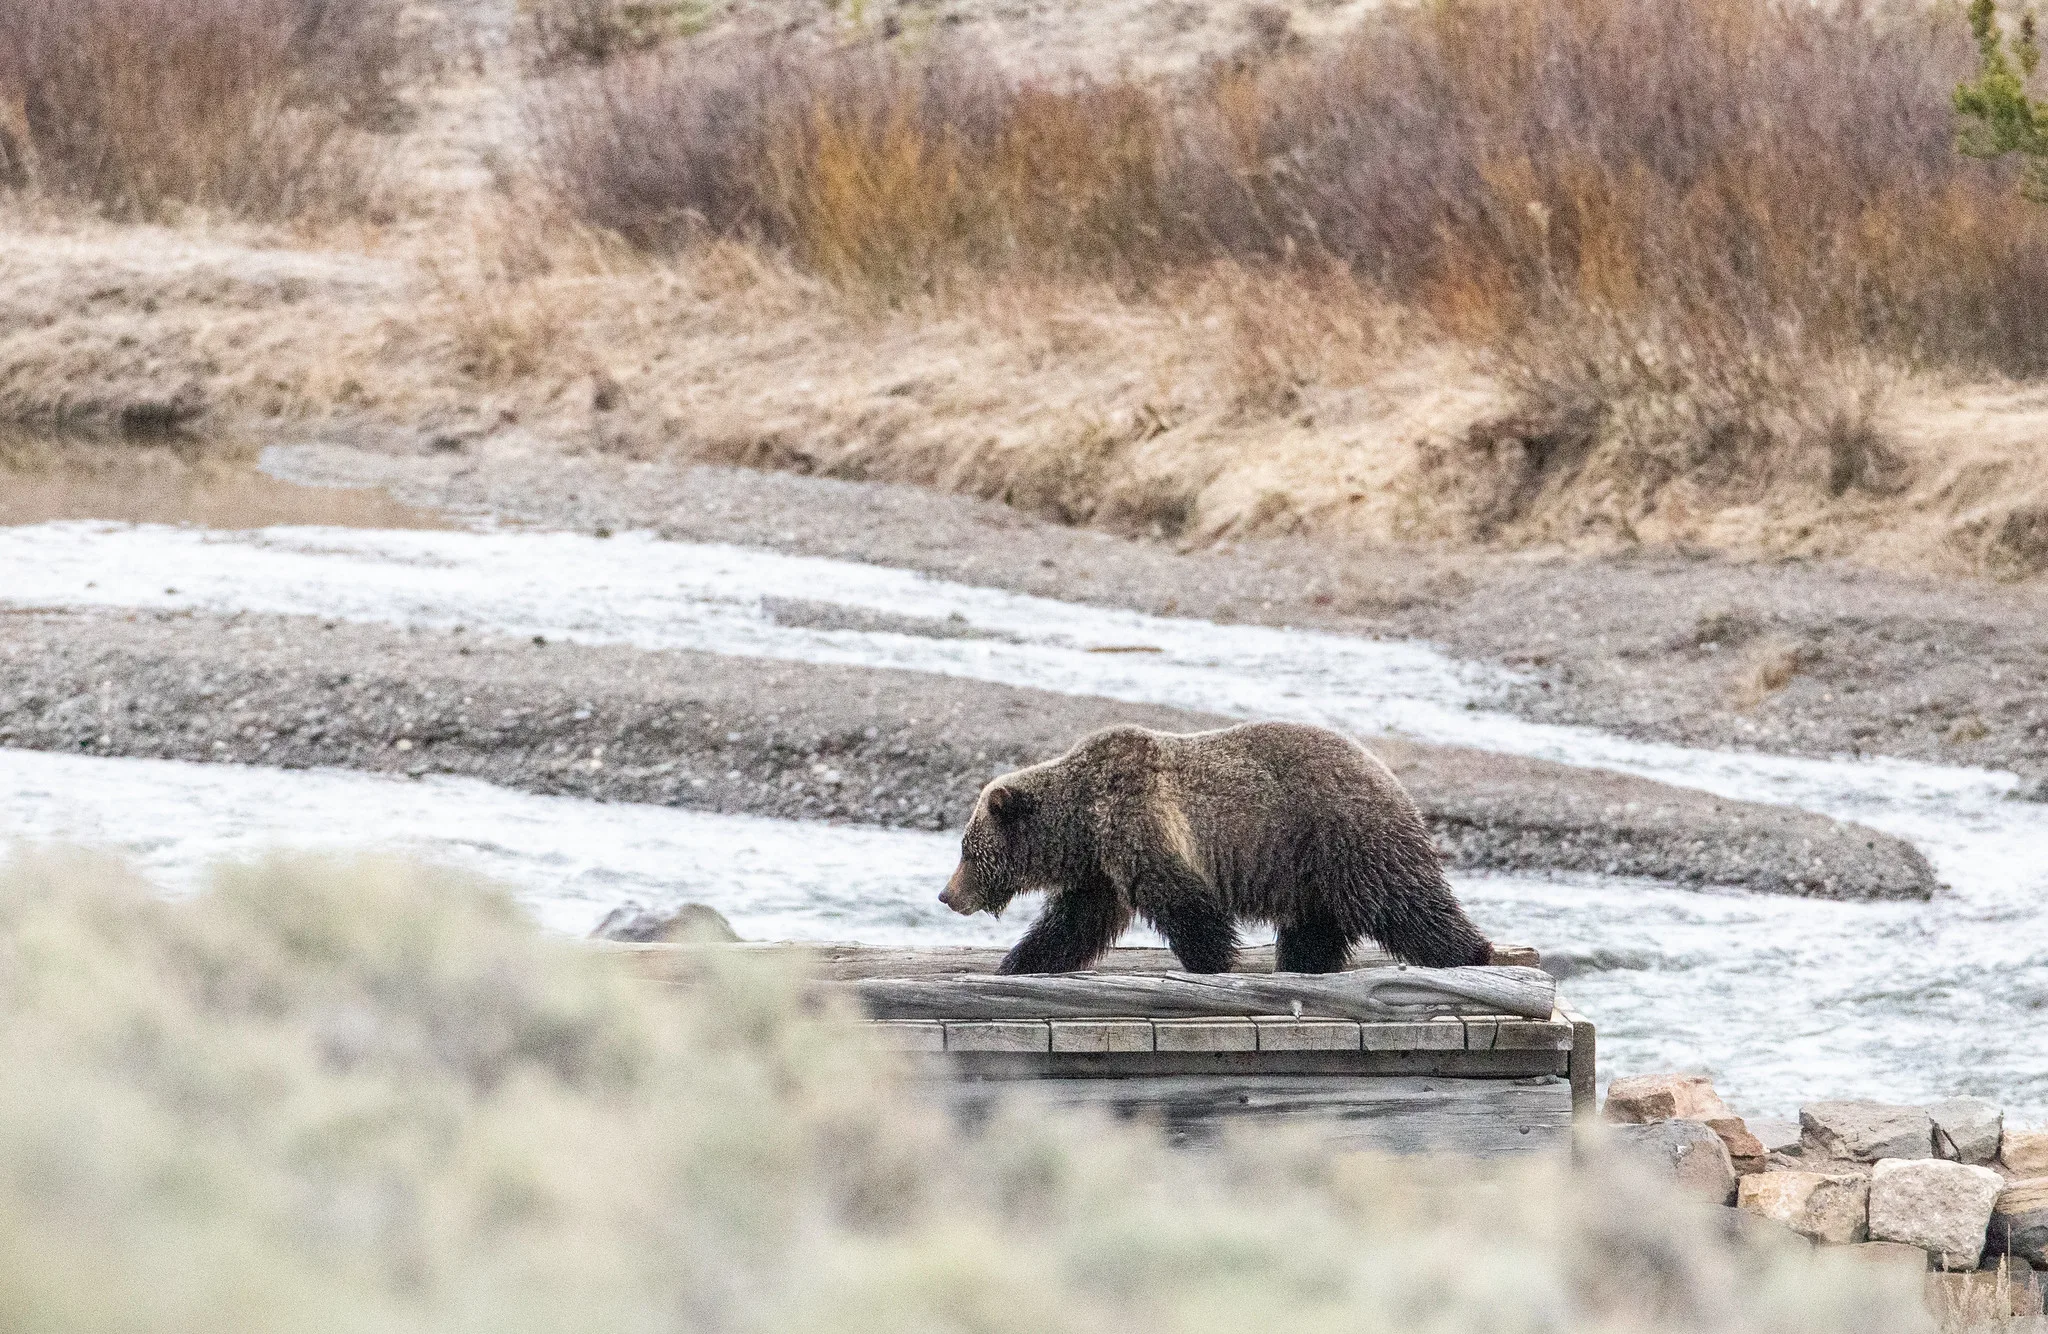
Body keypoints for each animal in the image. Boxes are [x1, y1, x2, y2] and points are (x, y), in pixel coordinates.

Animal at [937, 721, 1493, 975]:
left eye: (966, 850)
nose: (947, 894)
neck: (1081, 824)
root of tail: (1388, 774)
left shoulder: (1139, 824)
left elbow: (1185, 903)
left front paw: (1211, 961)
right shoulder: (1100, 868)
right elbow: (1074, 922)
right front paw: (1019, 961)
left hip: (1346, 837)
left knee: (1406, 903)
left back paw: (1471, 952)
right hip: (1310, 868)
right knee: (1316, 925)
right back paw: (1303, 964)